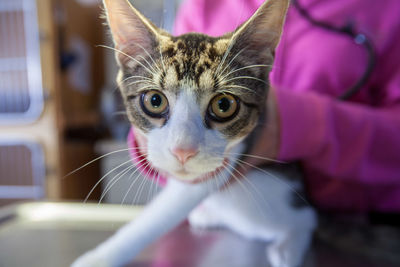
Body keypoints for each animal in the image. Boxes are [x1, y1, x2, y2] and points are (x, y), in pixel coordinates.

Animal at [71, 0, 316, 267]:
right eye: (155, 100)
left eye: (223, 105)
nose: (183, 151)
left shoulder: (235, 153)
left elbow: (164, 211)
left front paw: (100, 257)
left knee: (305, 217)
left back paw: (289, 246)